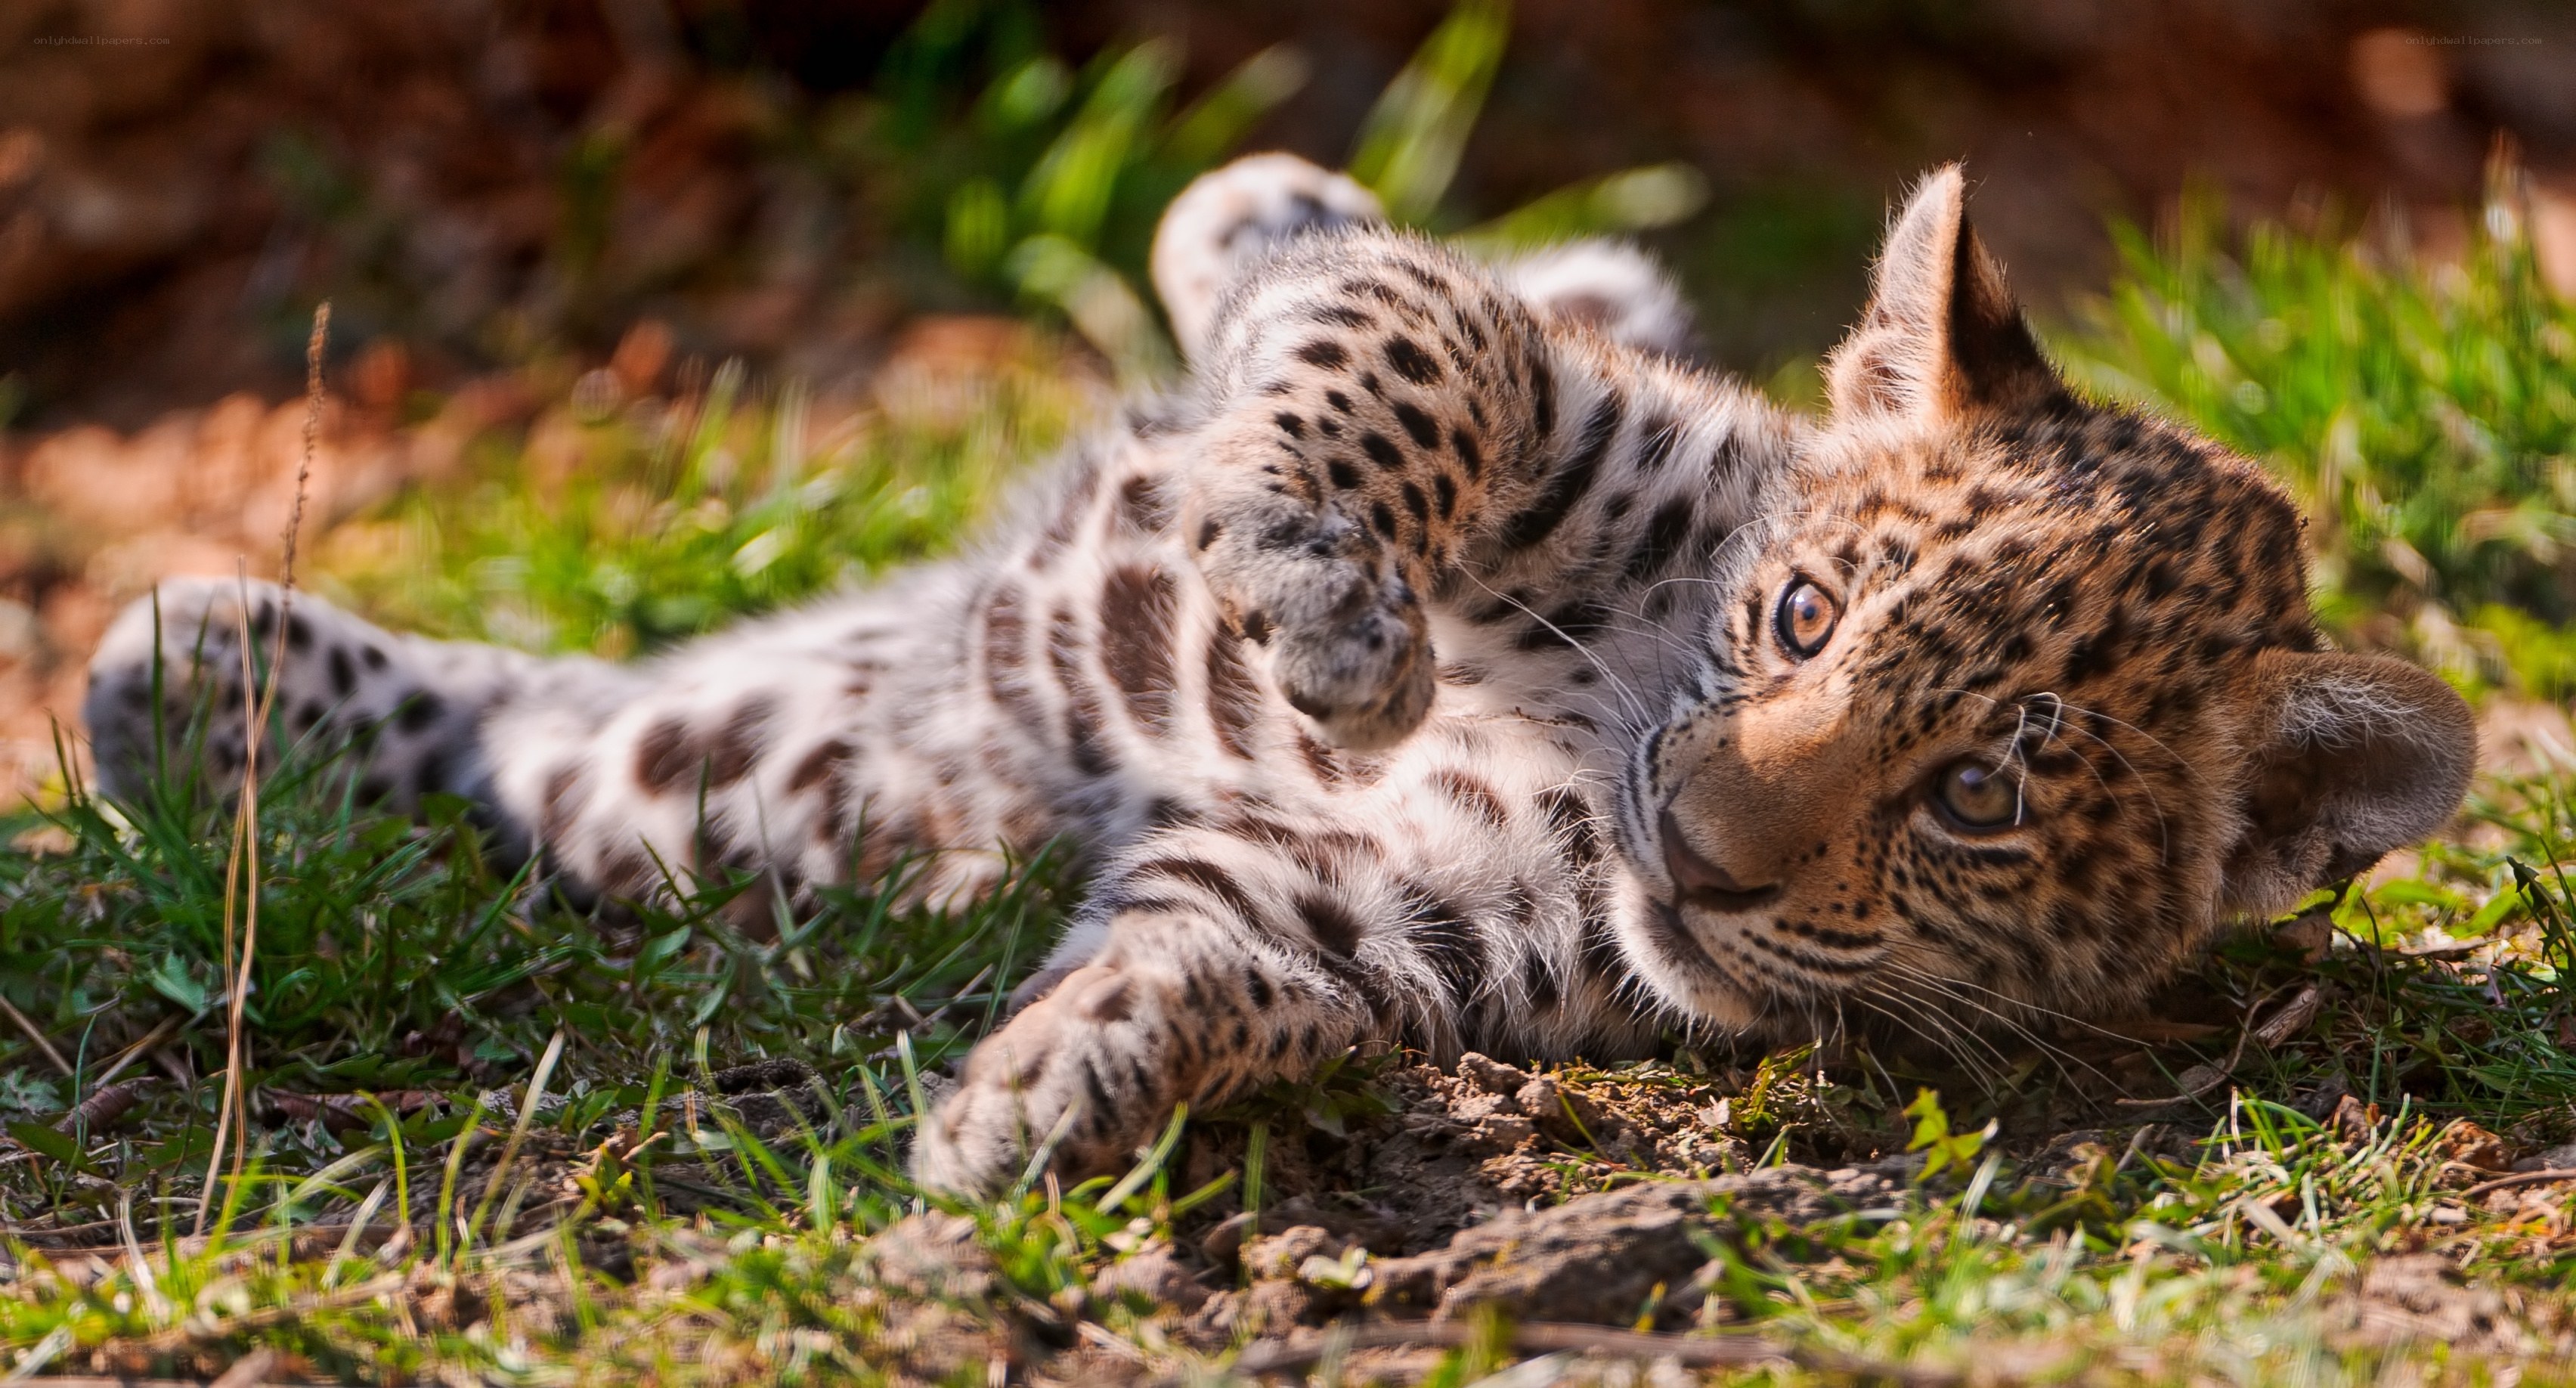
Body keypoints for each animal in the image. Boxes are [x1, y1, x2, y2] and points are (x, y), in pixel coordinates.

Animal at [83, 154, 2476, 1197]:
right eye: (1805, 616)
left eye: (1982, 791)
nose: (1697, 848)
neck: (1605, 733)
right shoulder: (1559, 407)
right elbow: (1410, 341)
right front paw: (1328, 608)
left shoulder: (1399, 913)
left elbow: (1215, 952)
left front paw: (1053, 1083)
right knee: (1311, 240)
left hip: (756, 771)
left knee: (537, 739)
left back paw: (192, 677)